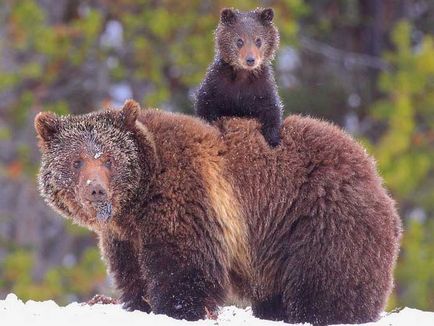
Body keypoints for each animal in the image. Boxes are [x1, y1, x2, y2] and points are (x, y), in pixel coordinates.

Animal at [35, 100, 402, 324]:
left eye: (109, 158)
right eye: (76, 160)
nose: (95, 189)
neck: (137, 200)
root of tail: (372, 169)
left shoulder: (185, 197)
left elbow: (183, 268)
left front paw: (178, 309)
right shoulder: (124, 235)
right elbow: (131, 272)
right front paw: (137, 303)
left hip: (320, 217)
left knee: (329, 280)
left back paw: (326, 313)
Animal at [195, 7, 284, 147]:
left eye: (258, 40)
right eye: (239, 41)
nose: (250, 60)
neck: (243, 75)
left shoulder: (261, 88)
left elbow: (272, 110)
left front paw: (273, 139)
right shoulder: (217, 85)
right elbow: (206, 106)